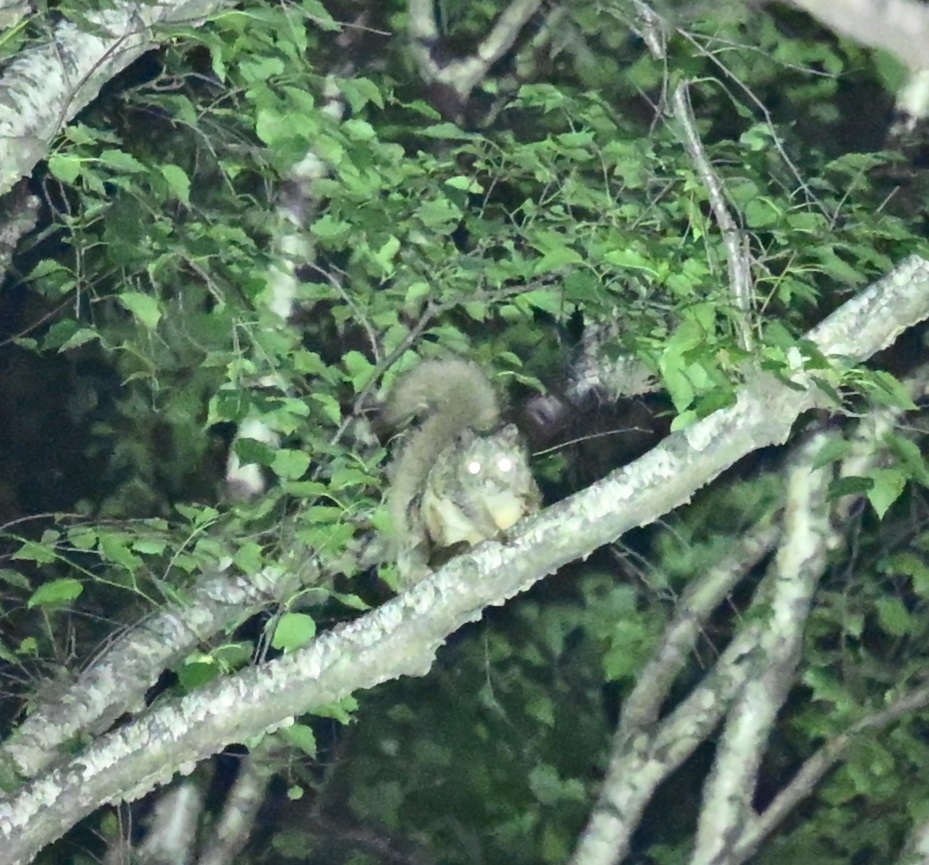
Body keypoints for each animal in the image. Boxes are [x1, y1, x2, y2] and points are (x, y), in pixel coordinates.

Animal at [384, 357, 542, 586]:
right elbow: (477, 514)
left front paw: (531, 505)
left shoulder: (524, 479)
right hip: (426, 521)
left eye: (504, 464)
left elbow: (532, 495)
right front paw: (498, 535)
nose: (487, 482)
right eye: (473, 467)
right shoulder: (459, 490)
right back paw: (446, 553)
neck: (496, 500)